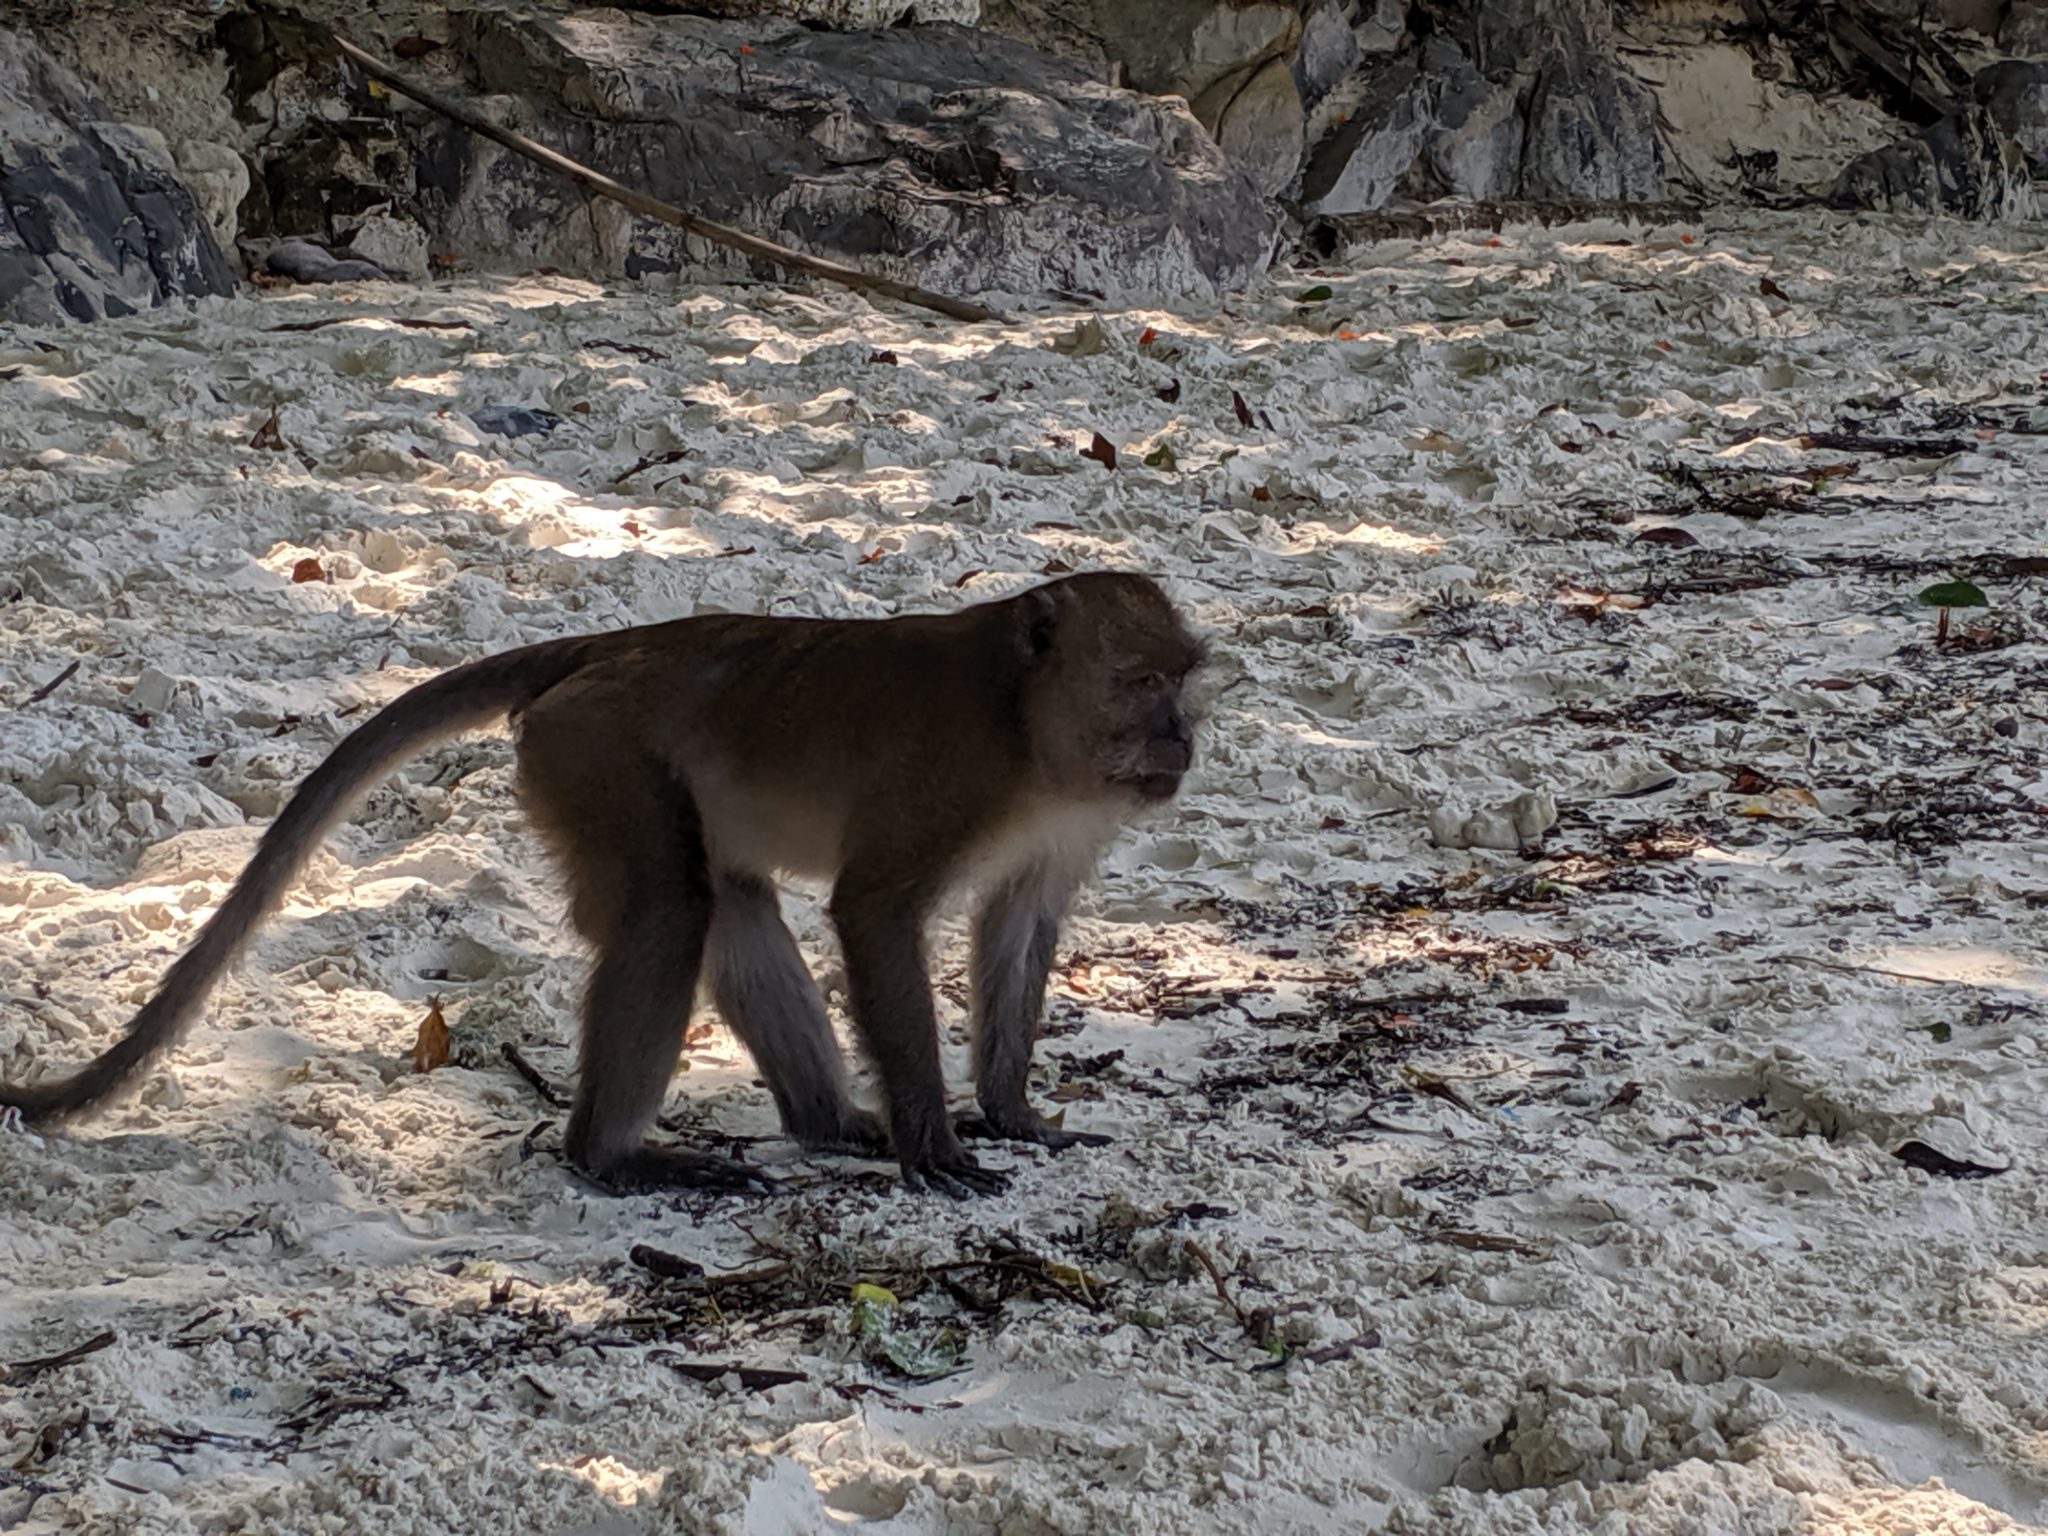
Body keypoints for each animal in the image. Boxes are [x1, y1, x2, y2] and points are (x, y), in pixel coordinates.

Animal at [0, 572, 1202, 1198]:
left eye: (1182, 681)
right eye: (1139, 681)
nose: (1182, 739)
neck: (1027, 731)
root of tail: (610, 647)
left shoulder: (1063, 818)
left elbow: (1016, 925)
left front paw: (1011, 1114)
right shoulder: (947, 780)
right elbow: (871, 911)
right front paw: (935, 1142)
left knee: (723, 900)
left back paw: (821, 1125)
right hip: (595, 751)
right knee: (672, 910)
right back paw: (614, 1157)